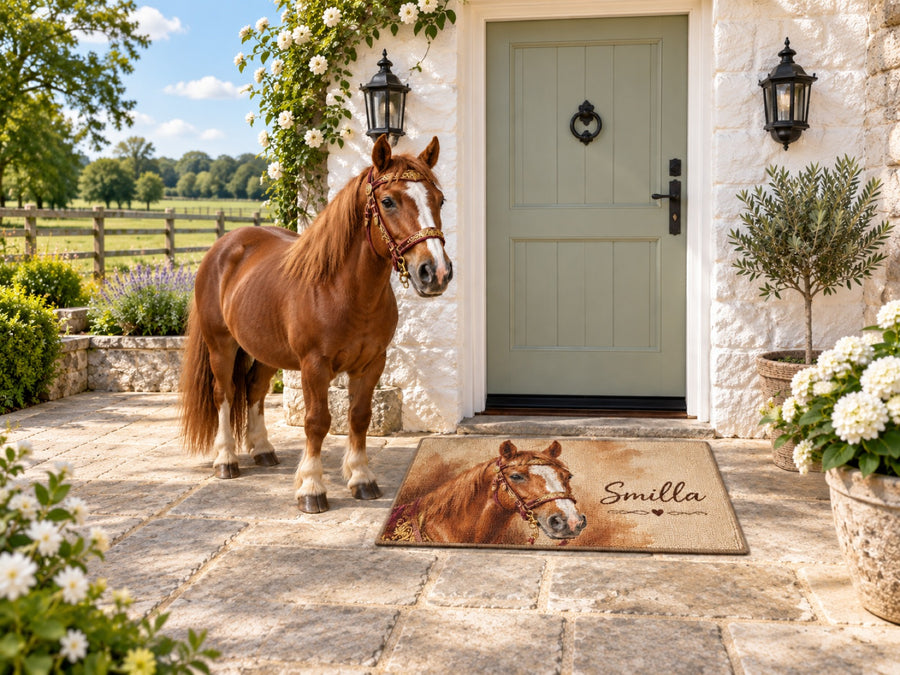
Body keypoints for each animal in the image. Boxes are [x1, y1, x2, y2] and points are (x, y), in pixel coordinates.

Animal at [179, 135, 453, 513]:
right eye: (388, 201)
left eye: (439, 199)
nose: (435, 272)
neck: (343, 290)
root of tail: (224, 247)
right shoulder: (314, 365)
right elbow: (317, 422)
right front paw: (311, 487)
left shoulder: (372, 363)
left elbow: (359, 416)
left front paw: (361, 478)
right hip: (221, 345)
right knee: (225, 394)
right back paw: (226, 460)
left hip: (265, 351)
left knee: (254, 390)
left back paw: (263, 449)